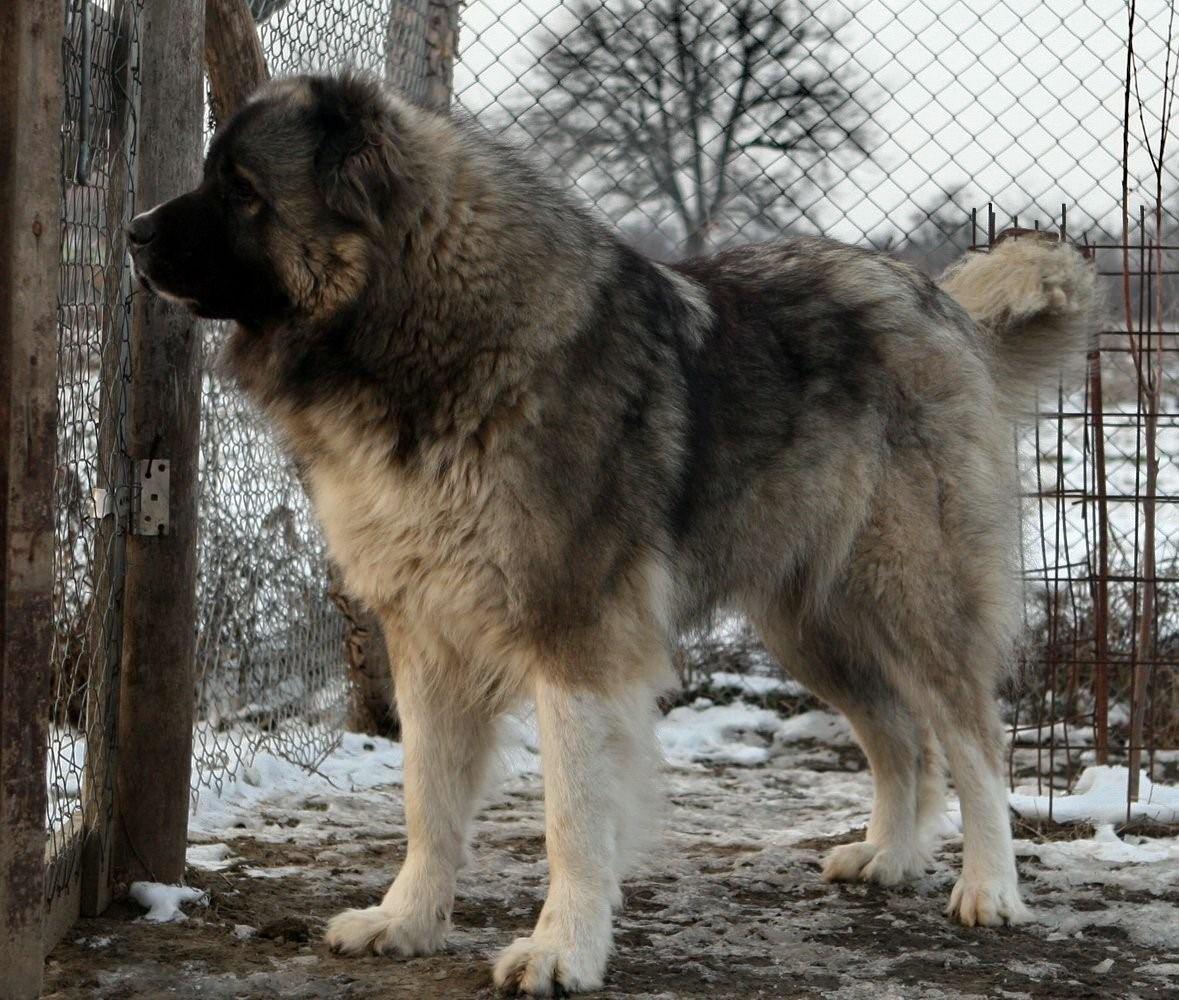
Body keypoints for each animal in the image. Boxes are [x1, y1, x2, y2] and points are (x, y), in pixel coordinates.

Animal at [129, 74, 1094, 995]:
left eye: (241, 189)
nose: (133, 232)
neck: (429, 330)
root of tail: (934, 300)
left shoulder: (574, 635)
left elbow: (573, 819)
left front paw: (563, 949)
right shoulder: (428, 636)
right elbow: (427, 801)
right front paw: (406, 921)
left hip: (913, 593)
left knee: (972, 739)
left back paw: (989, 888)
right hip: (810, 621)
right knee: (899, 736)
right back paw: (889, 855)